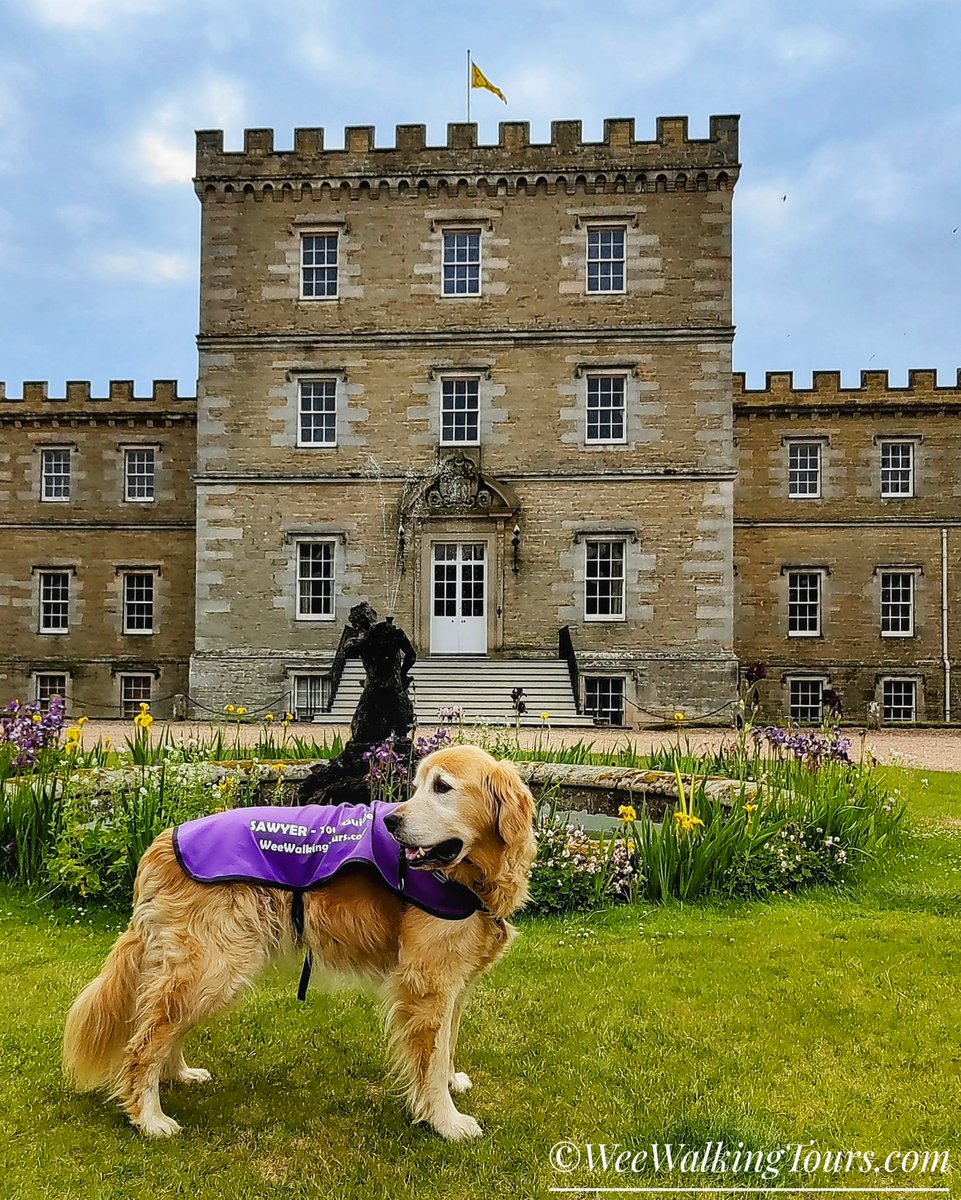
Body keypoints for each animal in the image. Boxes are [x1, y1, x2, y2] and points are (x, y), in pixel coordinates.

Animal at [63, 744, 535, 1137]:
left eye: (442, 787)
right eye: (418, 786)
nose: (391, 821)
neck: (473, 876)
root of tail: (161, 841)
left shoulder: (456, 982)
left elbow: (448, 1043)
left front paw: (453, 1083)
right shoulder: (427, 982)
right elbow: (431, 1060)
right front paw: (446, 1121)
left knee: (166, 1027)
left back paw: (178, 1074)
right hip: (213, 967)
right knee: (145, 1042)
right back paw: (149, 1118)